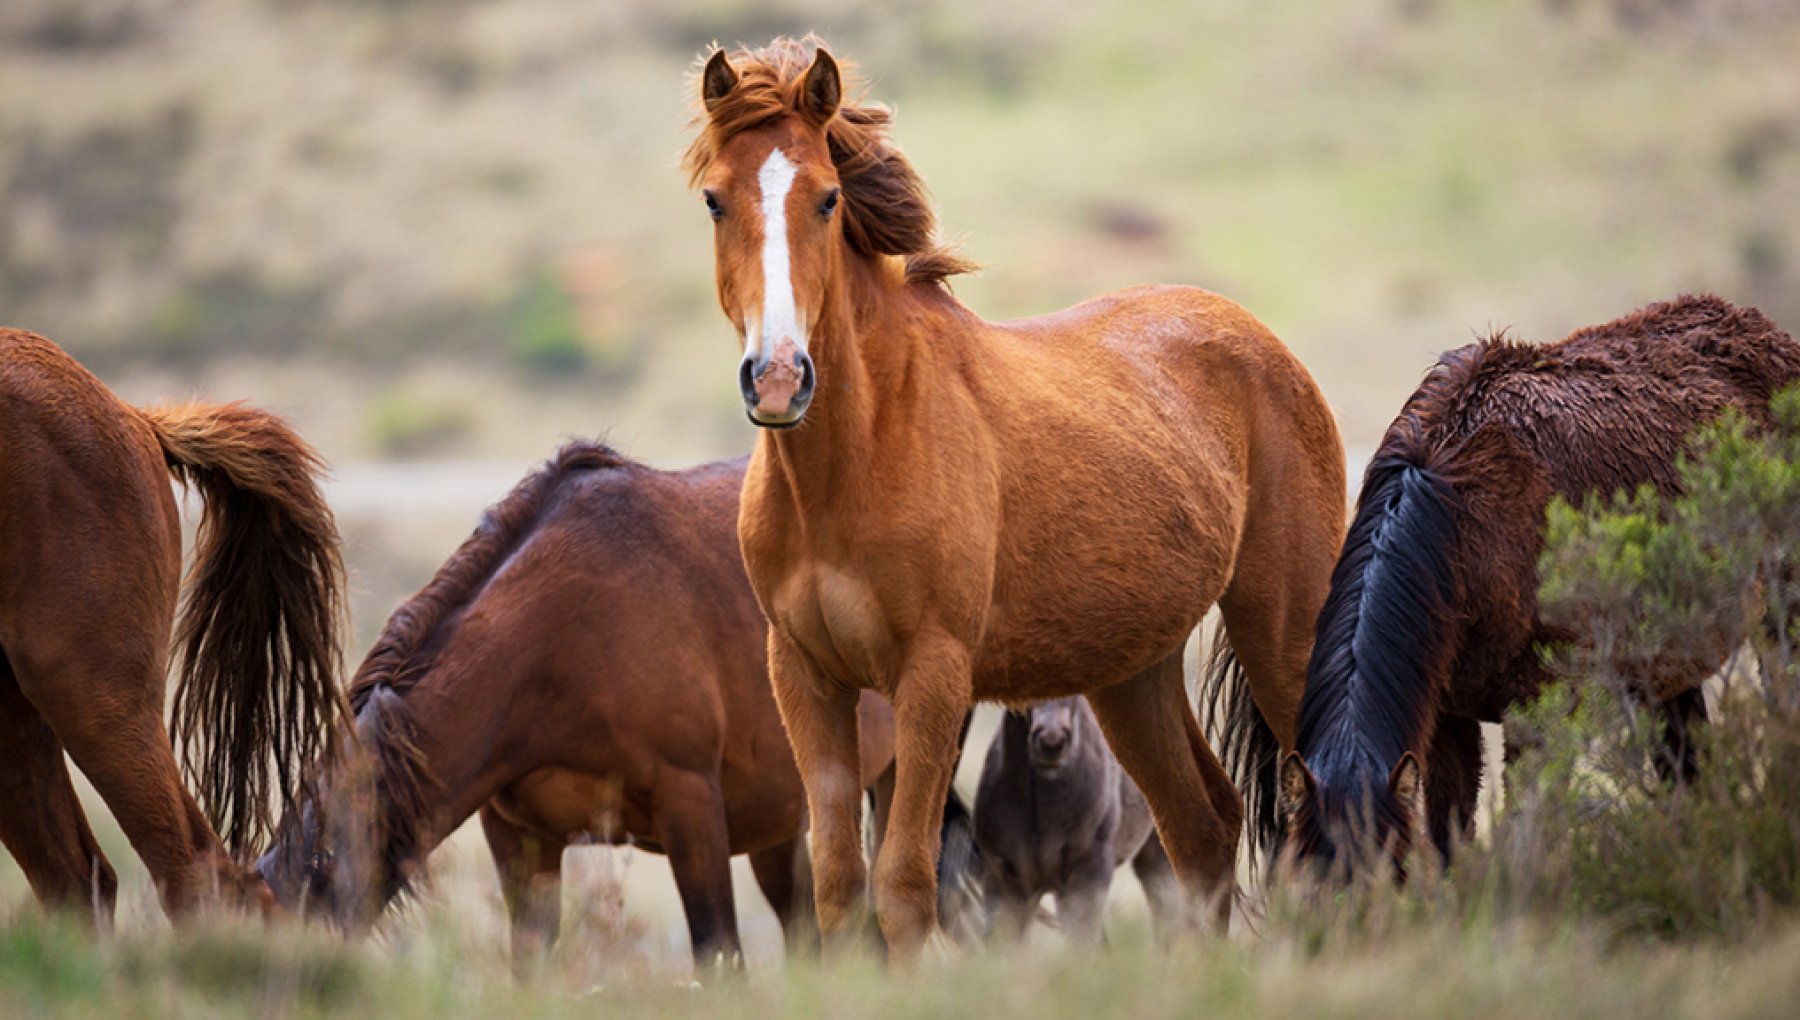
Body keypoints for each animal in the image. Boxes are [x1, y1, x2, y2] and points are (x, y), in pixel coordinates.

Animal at [1276, 294, 1800, 875]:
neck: (1461, 524)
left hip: (1781, 617)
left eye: (1391, 874)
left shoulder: (1538, 717)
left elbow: (1526, 830)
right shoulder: (1447, 724)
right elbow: (1450, 837)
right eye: (1306, 876)